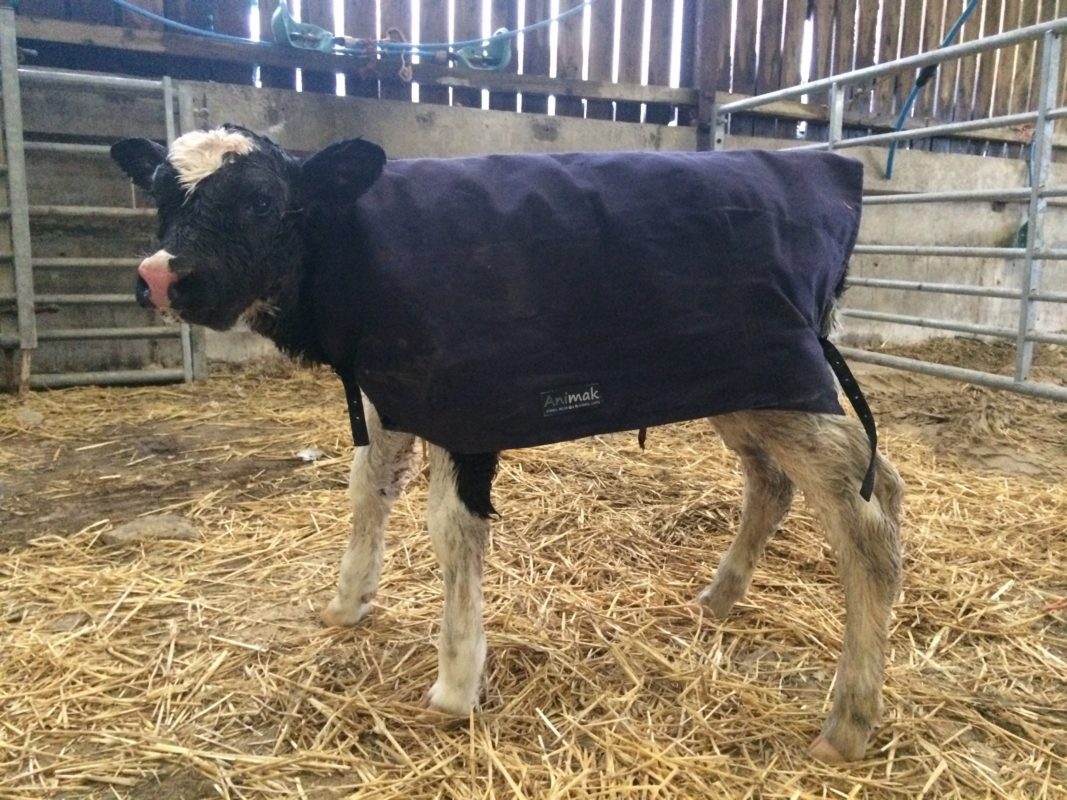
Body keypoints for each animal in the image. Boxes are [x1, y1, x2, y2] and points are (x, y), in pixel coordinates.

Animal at [111, 126, 903, 763]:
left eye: (262, 202)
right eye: (162, 195)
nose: (160, 275)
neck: (356, 253)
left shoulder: (467, 401)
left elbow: (450, 529)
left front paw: (456, 683)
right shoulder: (392, 388)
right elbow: (367, 489)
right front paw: (347, 604)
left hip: (782, 374)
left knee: (866, 505)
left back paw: (848, 721)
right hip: (736, 379)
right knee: (778, 481)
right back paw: (719, 597)